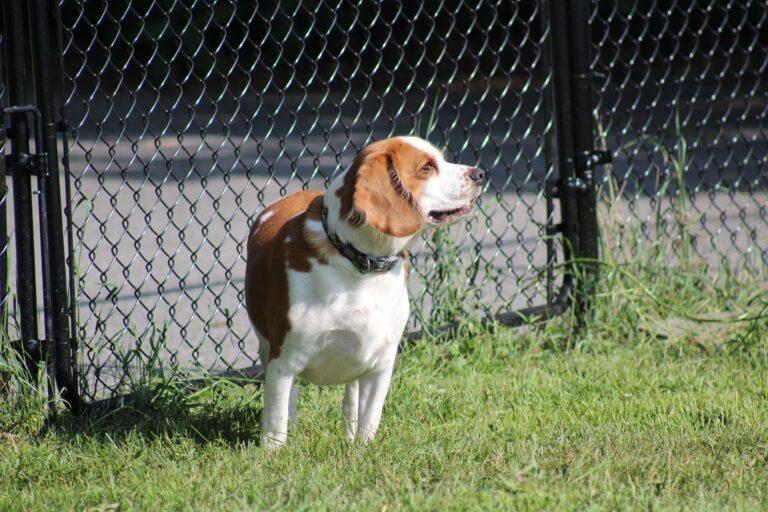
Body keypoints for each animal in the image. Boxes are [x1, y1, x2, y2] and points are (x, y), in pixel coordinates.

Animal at [246, 136, 486, 448]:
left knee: (351, 400)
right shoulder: (283, 362)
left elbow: (369, 418)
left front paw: (361, 449)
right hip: (267, 349)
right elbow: (276, 422)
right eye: (426, 168)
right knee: (290, 403)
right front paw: (274, 453)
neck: (360, 266)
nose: (480, 173)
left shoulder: (380, 364)